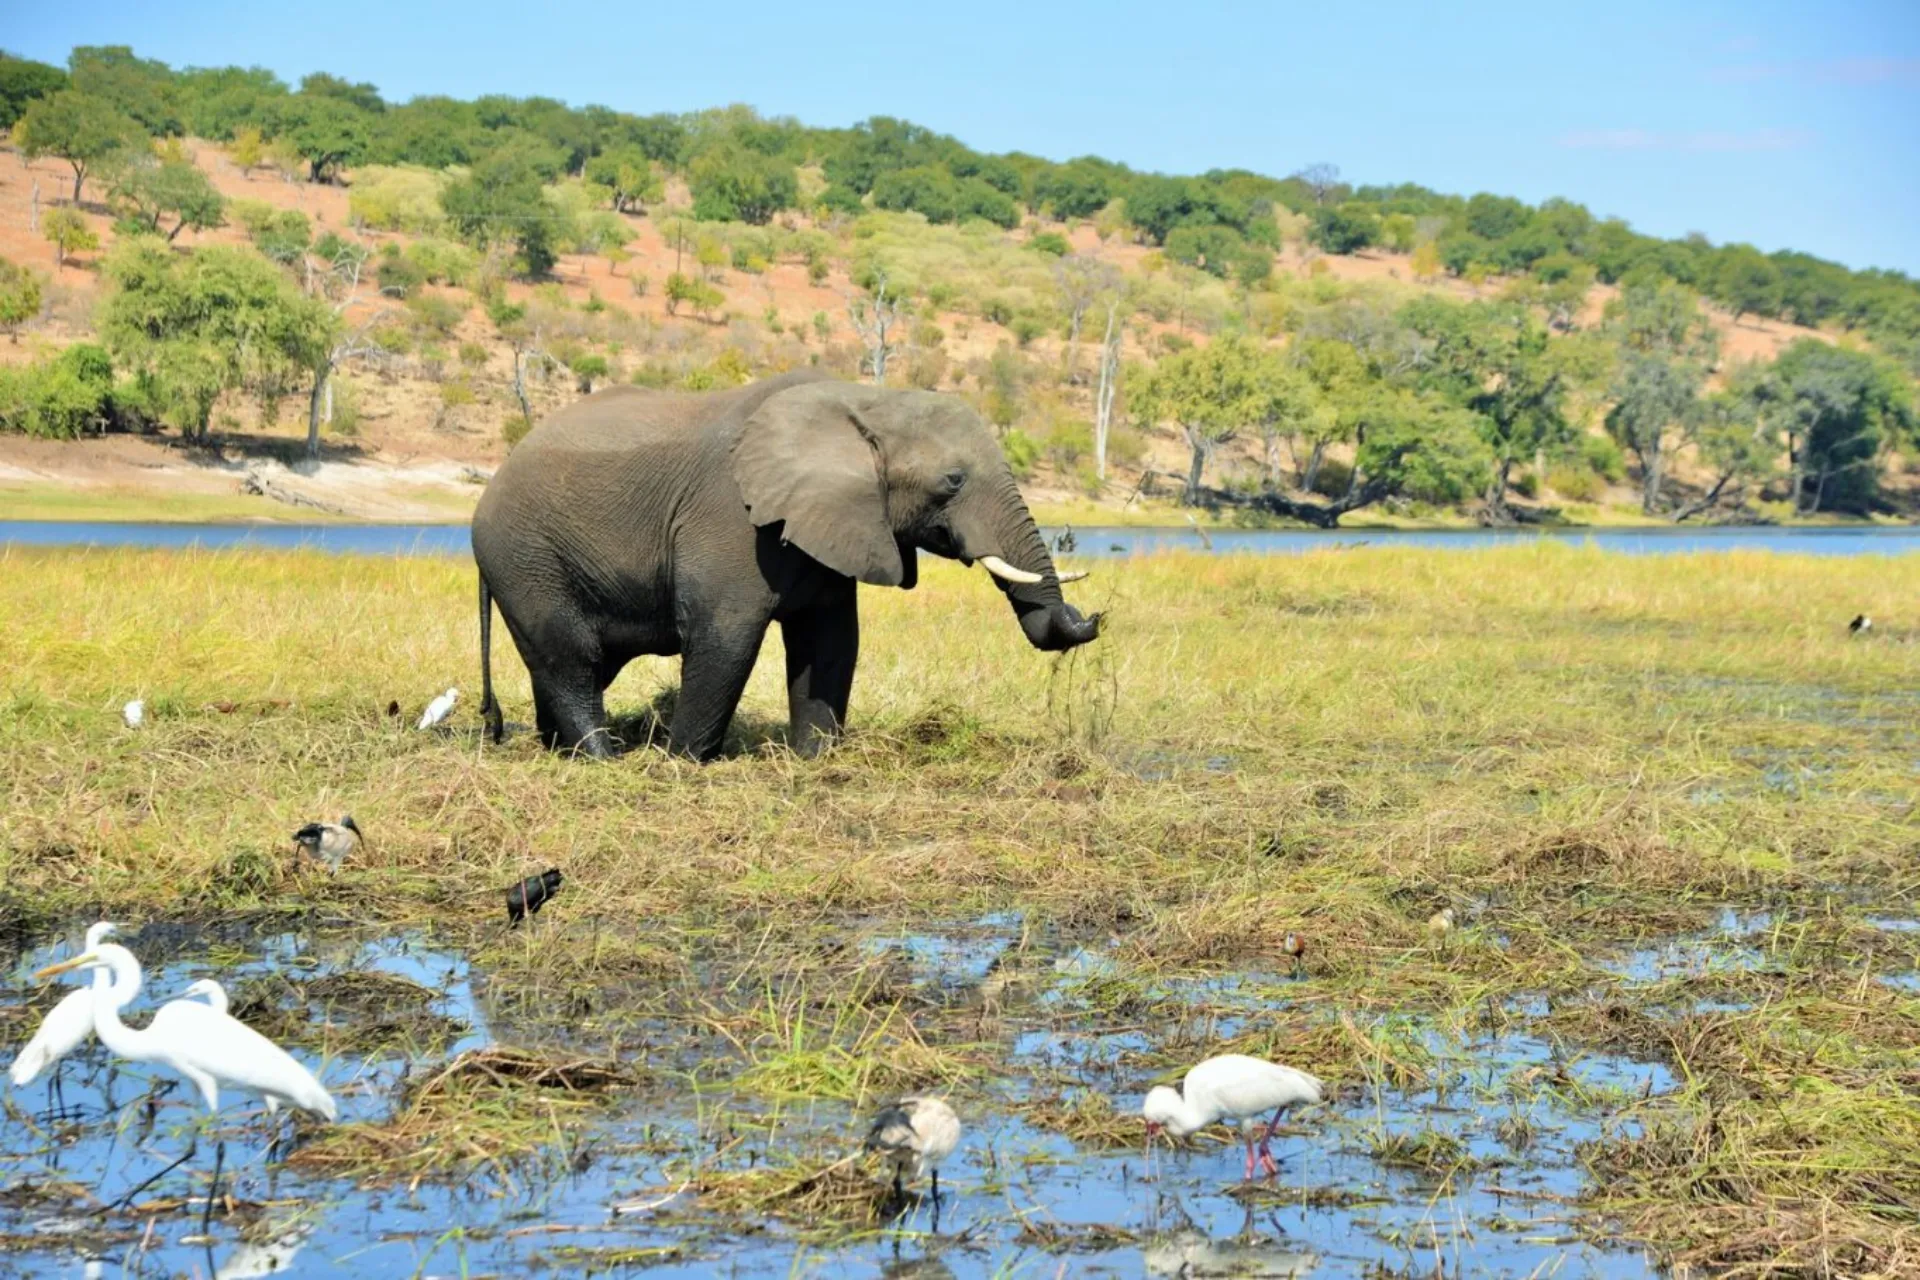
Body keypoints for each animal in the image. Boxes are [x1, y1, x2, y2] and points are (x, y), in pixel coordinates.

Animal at [471, 371, 1101, 761]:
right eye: (952, 481)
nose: (1088, 619)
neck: (867, 399)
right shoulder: (731, 516)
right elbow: (726, 638)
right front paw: (680, 764)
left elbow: (831, 642)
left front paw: (814, 760)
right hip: (525, 556)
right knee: (571, 660)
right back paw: (603, 760)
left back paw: (560, 753)